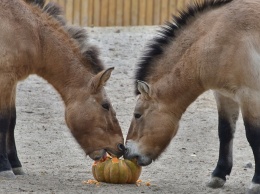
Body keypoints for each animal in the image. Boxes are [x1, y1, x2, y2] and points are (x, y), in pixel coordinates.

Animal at [0, 0, 124, 179]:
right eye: (105, 105)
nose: (121, 146)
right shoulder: (5, 78)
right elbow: (3, 121)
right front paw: (4, 166)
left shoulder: (12, 82)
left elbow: (11, 120)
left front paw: (15, 164)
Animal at [124, 0, 260, 192]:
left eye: (137, 115)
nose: (126, 151)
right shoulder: (224, 95)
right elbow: (225, 131)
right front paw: (218, 175)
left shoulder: (250, 96)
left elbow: (253, 136)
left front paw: (257, 182)